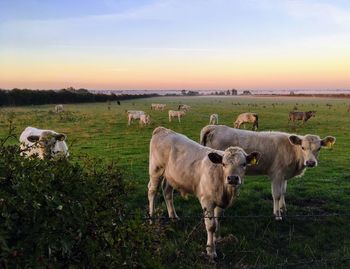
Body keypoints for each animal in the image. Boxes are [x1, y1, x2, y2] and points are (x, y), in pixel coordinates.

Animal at [148, 126, 260, 258]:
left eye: (243, 164)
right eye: (223, 164)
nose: (232, 178)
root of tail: (162, 130)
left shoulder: (219, 201)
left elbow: (218, 220)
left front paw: (217, 238)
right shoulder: (207, 201)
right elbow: (211, 225)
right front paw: (211, 250)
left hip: (171, 176)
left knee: (167, 192)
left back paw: (173, 217)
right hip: (156, 170)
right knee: (152, 191)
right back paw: (151, 218)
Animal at [198, 124, 334, 219]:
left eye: (319, 148)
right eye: (303, 147)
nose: (310, 162)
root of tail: (213, 127)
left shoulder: (283, 175)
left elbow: (283, 192)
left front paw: (283, 208)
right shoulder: (277, 175)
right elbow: (276, 194)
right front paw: (277, 214)